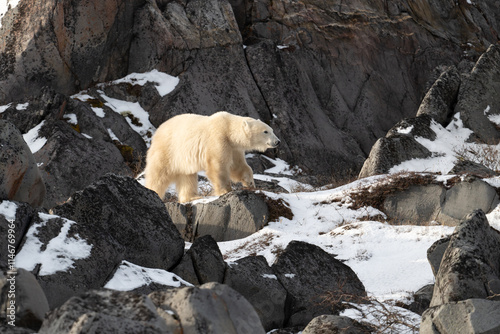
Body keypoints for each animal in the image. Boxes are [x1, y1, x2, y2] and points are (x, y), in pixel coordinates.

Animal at [145, 111, 280, 202]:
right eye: (265, 131)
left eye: (272, 130)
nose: (277, 141)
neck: (228, 128)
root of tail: (157, 132)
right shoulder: (218, 139)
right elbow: (218, 166)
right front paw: (225, 190)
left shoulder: (233, 148)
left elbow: (237, 166)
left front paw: (250, 183)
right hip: (167, 150)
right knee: (158, 175)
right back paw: (154, 192)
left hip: (182, 160)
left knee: (187, 177)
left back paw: (193, 197)